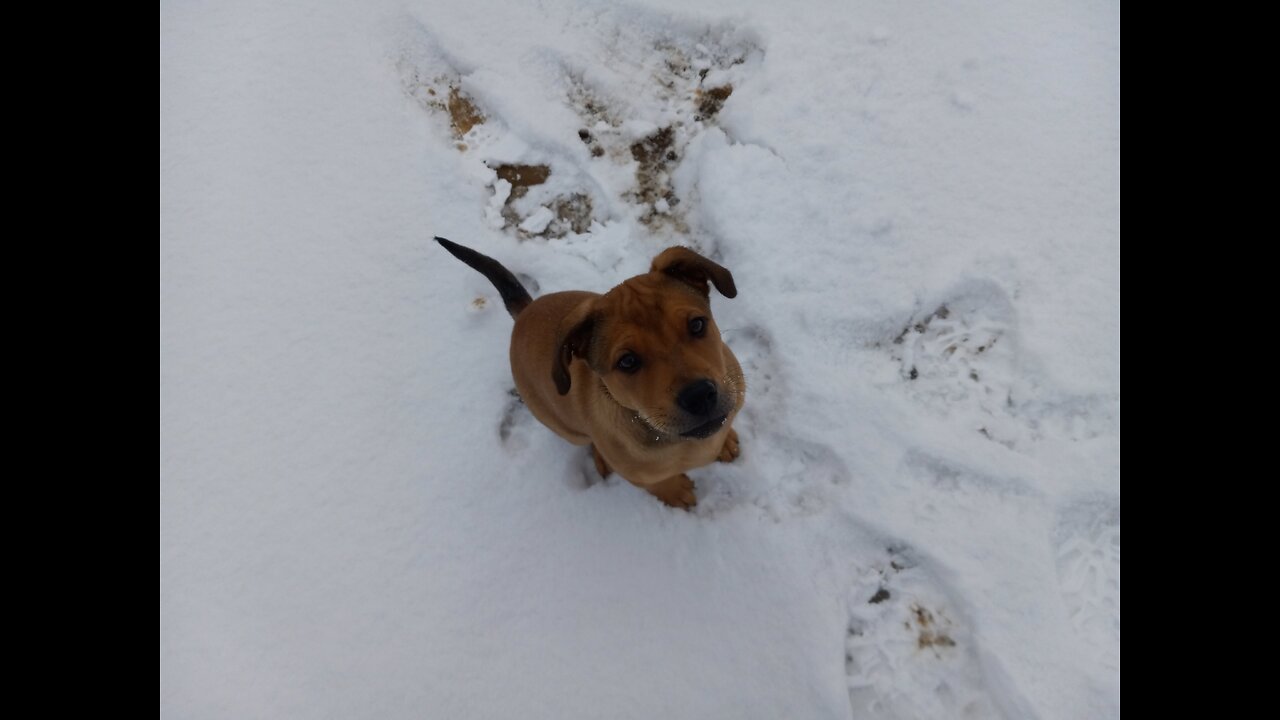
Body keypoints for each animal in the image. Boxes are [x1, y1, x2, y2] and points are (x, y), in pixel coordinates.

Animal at [437, 238, 747, 507]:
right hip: (565, 427)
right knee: (587, 440)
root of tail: (525, 311)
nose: (699, 396)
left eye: (697, 324)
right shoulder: (639, 475)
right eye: (627, 362)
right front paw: (675, 491)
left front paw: (725, 442)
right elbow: (658, 483)